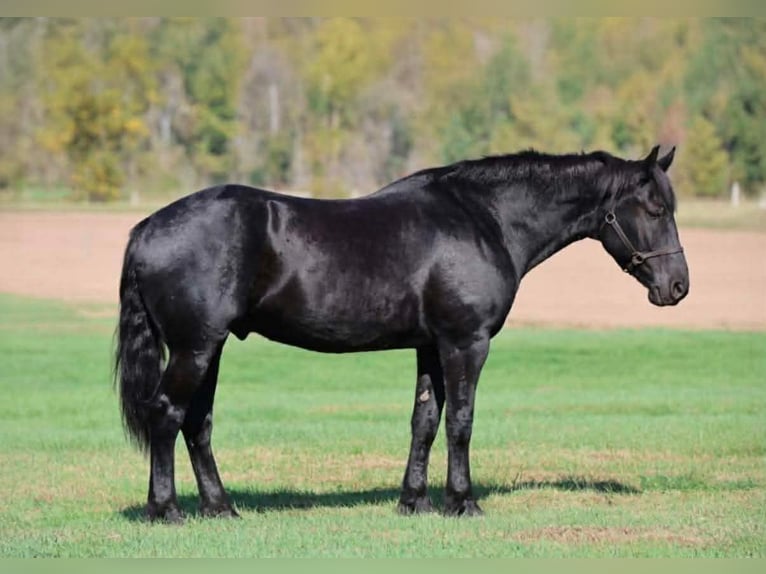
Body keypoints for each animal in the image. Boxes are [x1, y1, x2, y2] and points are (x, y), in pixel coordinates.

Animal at [114, 145, 688, 522]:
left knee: (197, 423)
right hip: (194, 348)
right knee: (167, 414)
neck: (485, 219)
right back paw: (165, 510)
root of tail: (146, 228)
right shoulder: (465, 342)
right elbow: (460, 421)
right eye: (656, 209)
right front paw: (463, 501)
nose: (678, 286)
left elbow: (424, 421)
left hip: (208, 349)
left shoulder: (430, 346)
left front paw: (414, 501)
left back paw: (220, 508)